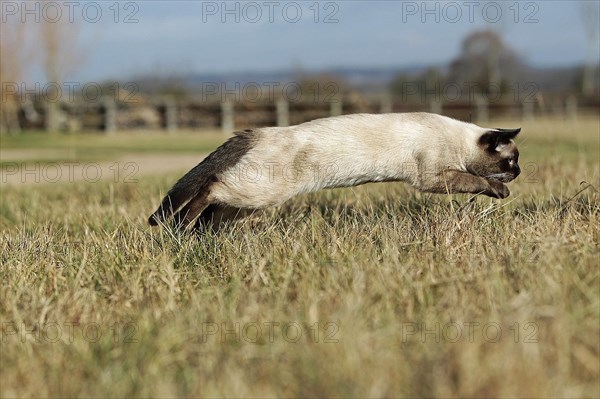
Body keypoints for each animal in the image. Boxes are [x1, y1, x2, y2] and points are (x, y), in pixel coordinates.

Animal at [148, 114, 516, 230]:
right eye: (511, 161)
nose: (519, 172)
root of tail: (261, 131)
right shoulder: (433, 177)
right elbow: (476, 180)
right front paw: (502, 192)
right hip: (262, 191)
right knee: (211, 186)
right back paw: (180, 228)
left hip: (250, 203)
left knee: (213, 210)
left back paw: (197, 235)